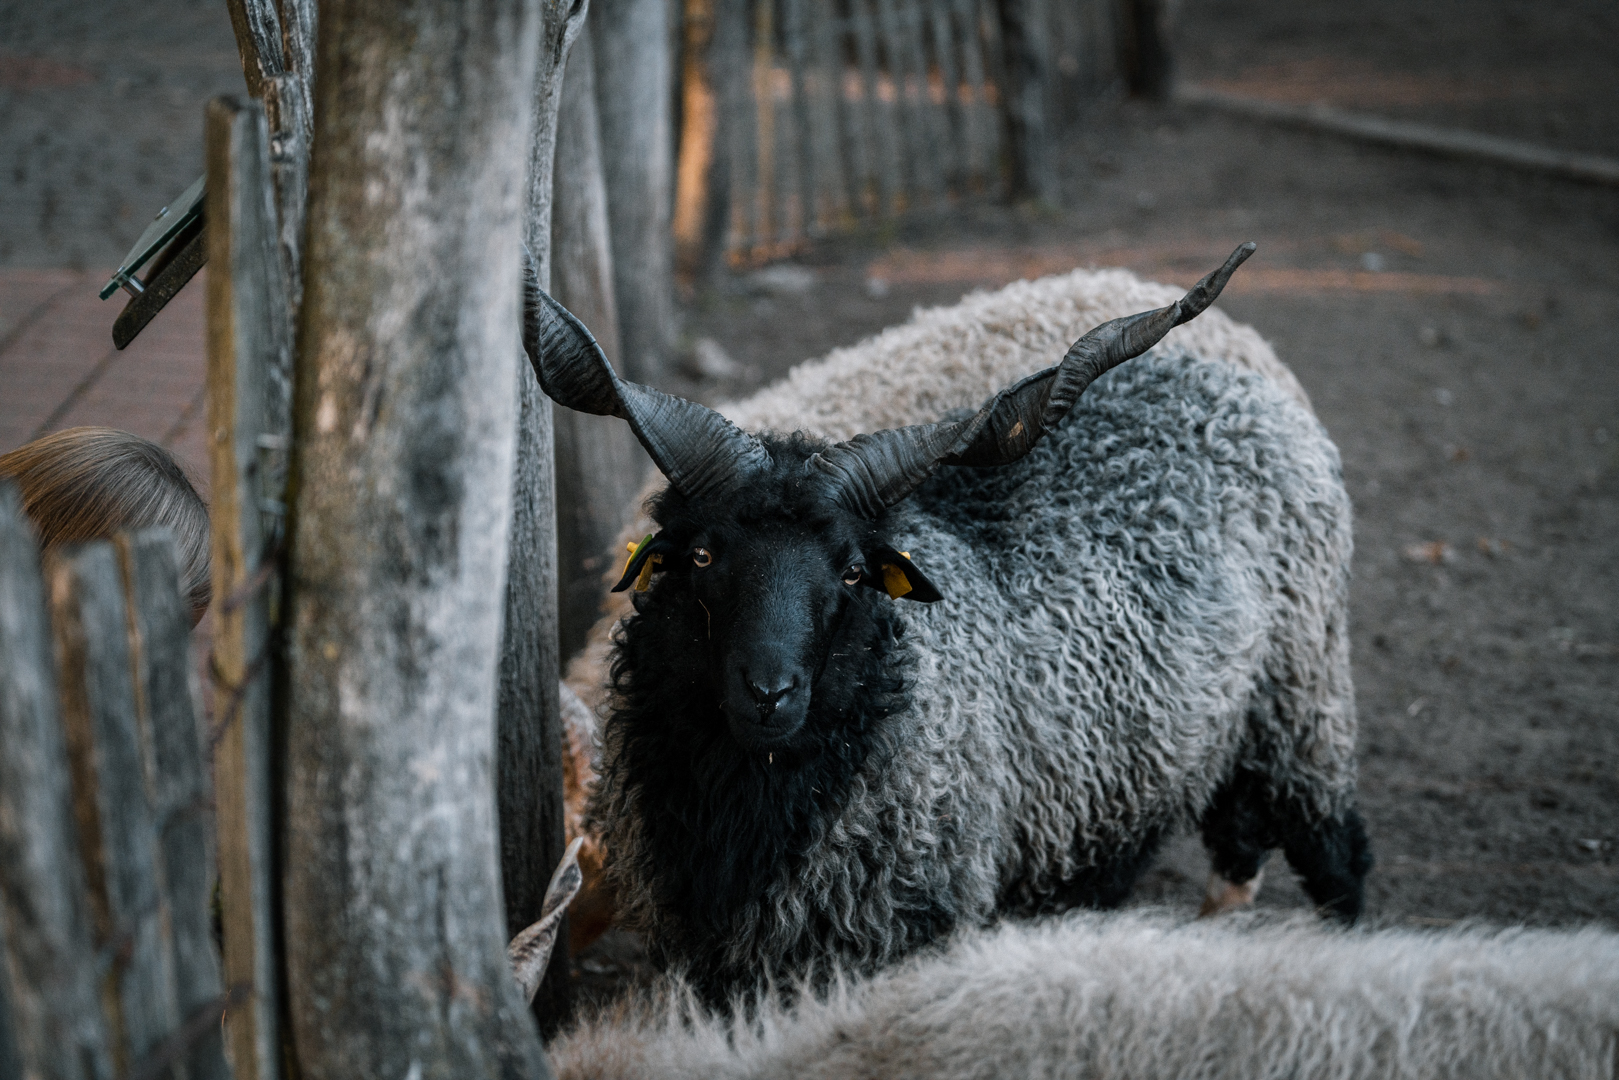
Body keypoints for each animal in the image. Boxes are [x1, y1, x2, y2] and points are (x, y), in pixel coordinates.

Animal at [526, 243, 1369, 998]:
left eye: (852, 571)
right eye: (700, 556)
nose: (768, 692)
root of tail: (1237, 383)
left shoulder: (904, 924)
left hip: (1302, 700)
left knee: (1337, 853)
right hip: (1161, 753)